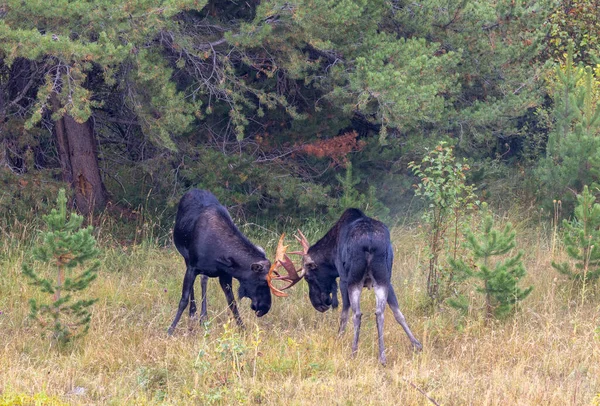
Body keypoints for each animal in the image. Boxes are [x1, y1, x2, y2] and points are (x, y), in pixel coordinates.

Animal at [168, 189, 282, 334]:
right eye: (262, 281)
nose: (265, 308)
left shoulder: (225, 275)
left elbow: (232, 303)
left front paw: (242, 329)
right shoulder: (193, 267)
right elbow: (183, 300)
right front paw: (170, 329)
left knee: (203, 281)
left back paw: (203, 316)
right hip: (186, 258)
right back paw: (193, 314)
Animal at [270, 208, 424, 364]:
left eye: (308, 277)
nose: (319, 305)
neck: (331, 256)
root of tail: (370, 242)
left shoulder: (342, 279)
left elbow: (344, 314)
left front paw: (339, 338)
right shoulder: (388, 281)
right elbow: (398, 313)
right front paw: (417, 344)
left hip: (353, 280)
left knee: (357, 314)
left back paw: (353, 351)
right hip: (383, 278)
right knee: (380, 312)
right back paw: (383, 356)